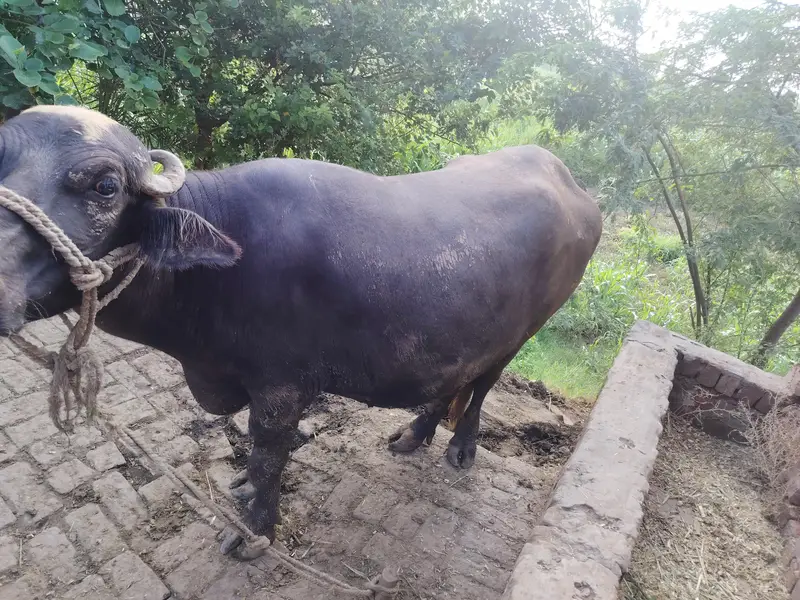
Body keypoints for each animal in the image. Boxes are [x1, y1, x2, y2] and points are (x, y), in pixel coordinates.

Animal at [0, 106, 601, 557]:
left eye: (106, 186)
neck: (221, 269)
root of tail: (577, 191)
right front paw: (244, 493)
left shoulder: (281, 388)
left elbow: (268, 454)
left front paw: (254, 531)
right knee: (455, 378)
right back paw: (414, 434)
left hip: (522, 334)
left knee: (481, 386)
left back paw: (461, 446)